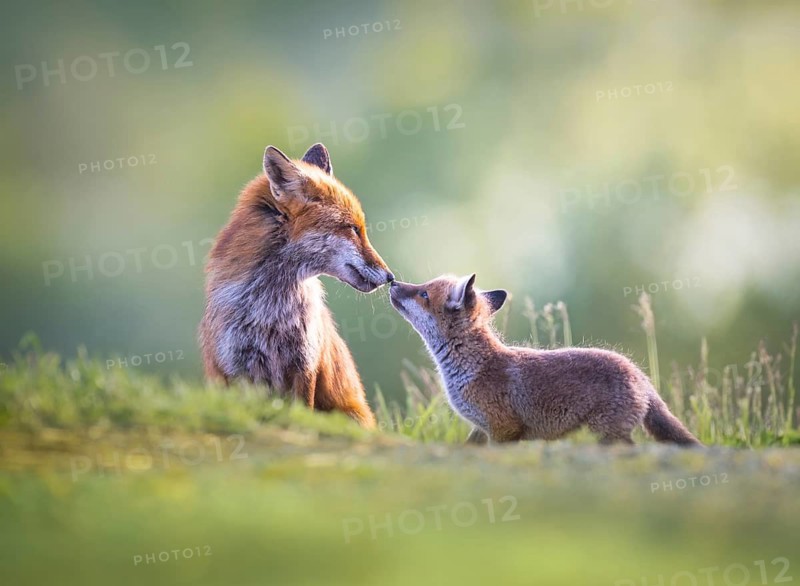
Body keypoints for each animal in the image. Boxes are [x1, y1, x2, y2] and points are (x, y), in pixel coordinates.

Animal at [199, 143, 394, 427]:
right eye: (353, 229)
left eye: (360, 229)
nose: (391, 277)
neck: (269, 310)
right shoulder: (235, 367)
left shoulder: (305, 363)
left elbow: (302, 413)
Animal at [389, 274, 702, 446]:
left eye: (423, 293)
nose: (392, 282)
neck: (472, 368)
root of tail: (640, 375)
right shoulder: (481, 430)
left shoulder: (503, 430)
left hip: (606, 435)